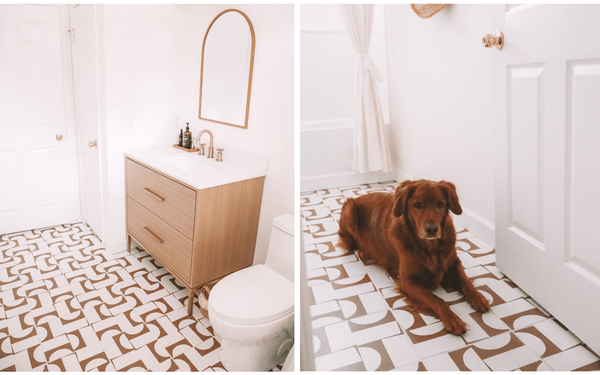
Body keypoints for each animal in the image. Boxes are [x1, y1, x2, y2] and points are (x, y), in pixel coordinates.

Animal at [340, 179, 490, 334]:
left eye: (440, 204)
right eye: (417, 205)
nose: (432, 229)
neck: (430, 246)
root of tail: (358, 197)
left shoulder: (454, 262)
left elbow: (465, 281)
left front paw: (478, 298)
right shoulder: (408, 282)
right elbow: (437, 300)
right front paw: (452, 319)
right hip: (350, 208)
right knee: (352, 241)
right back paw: (364, 251)